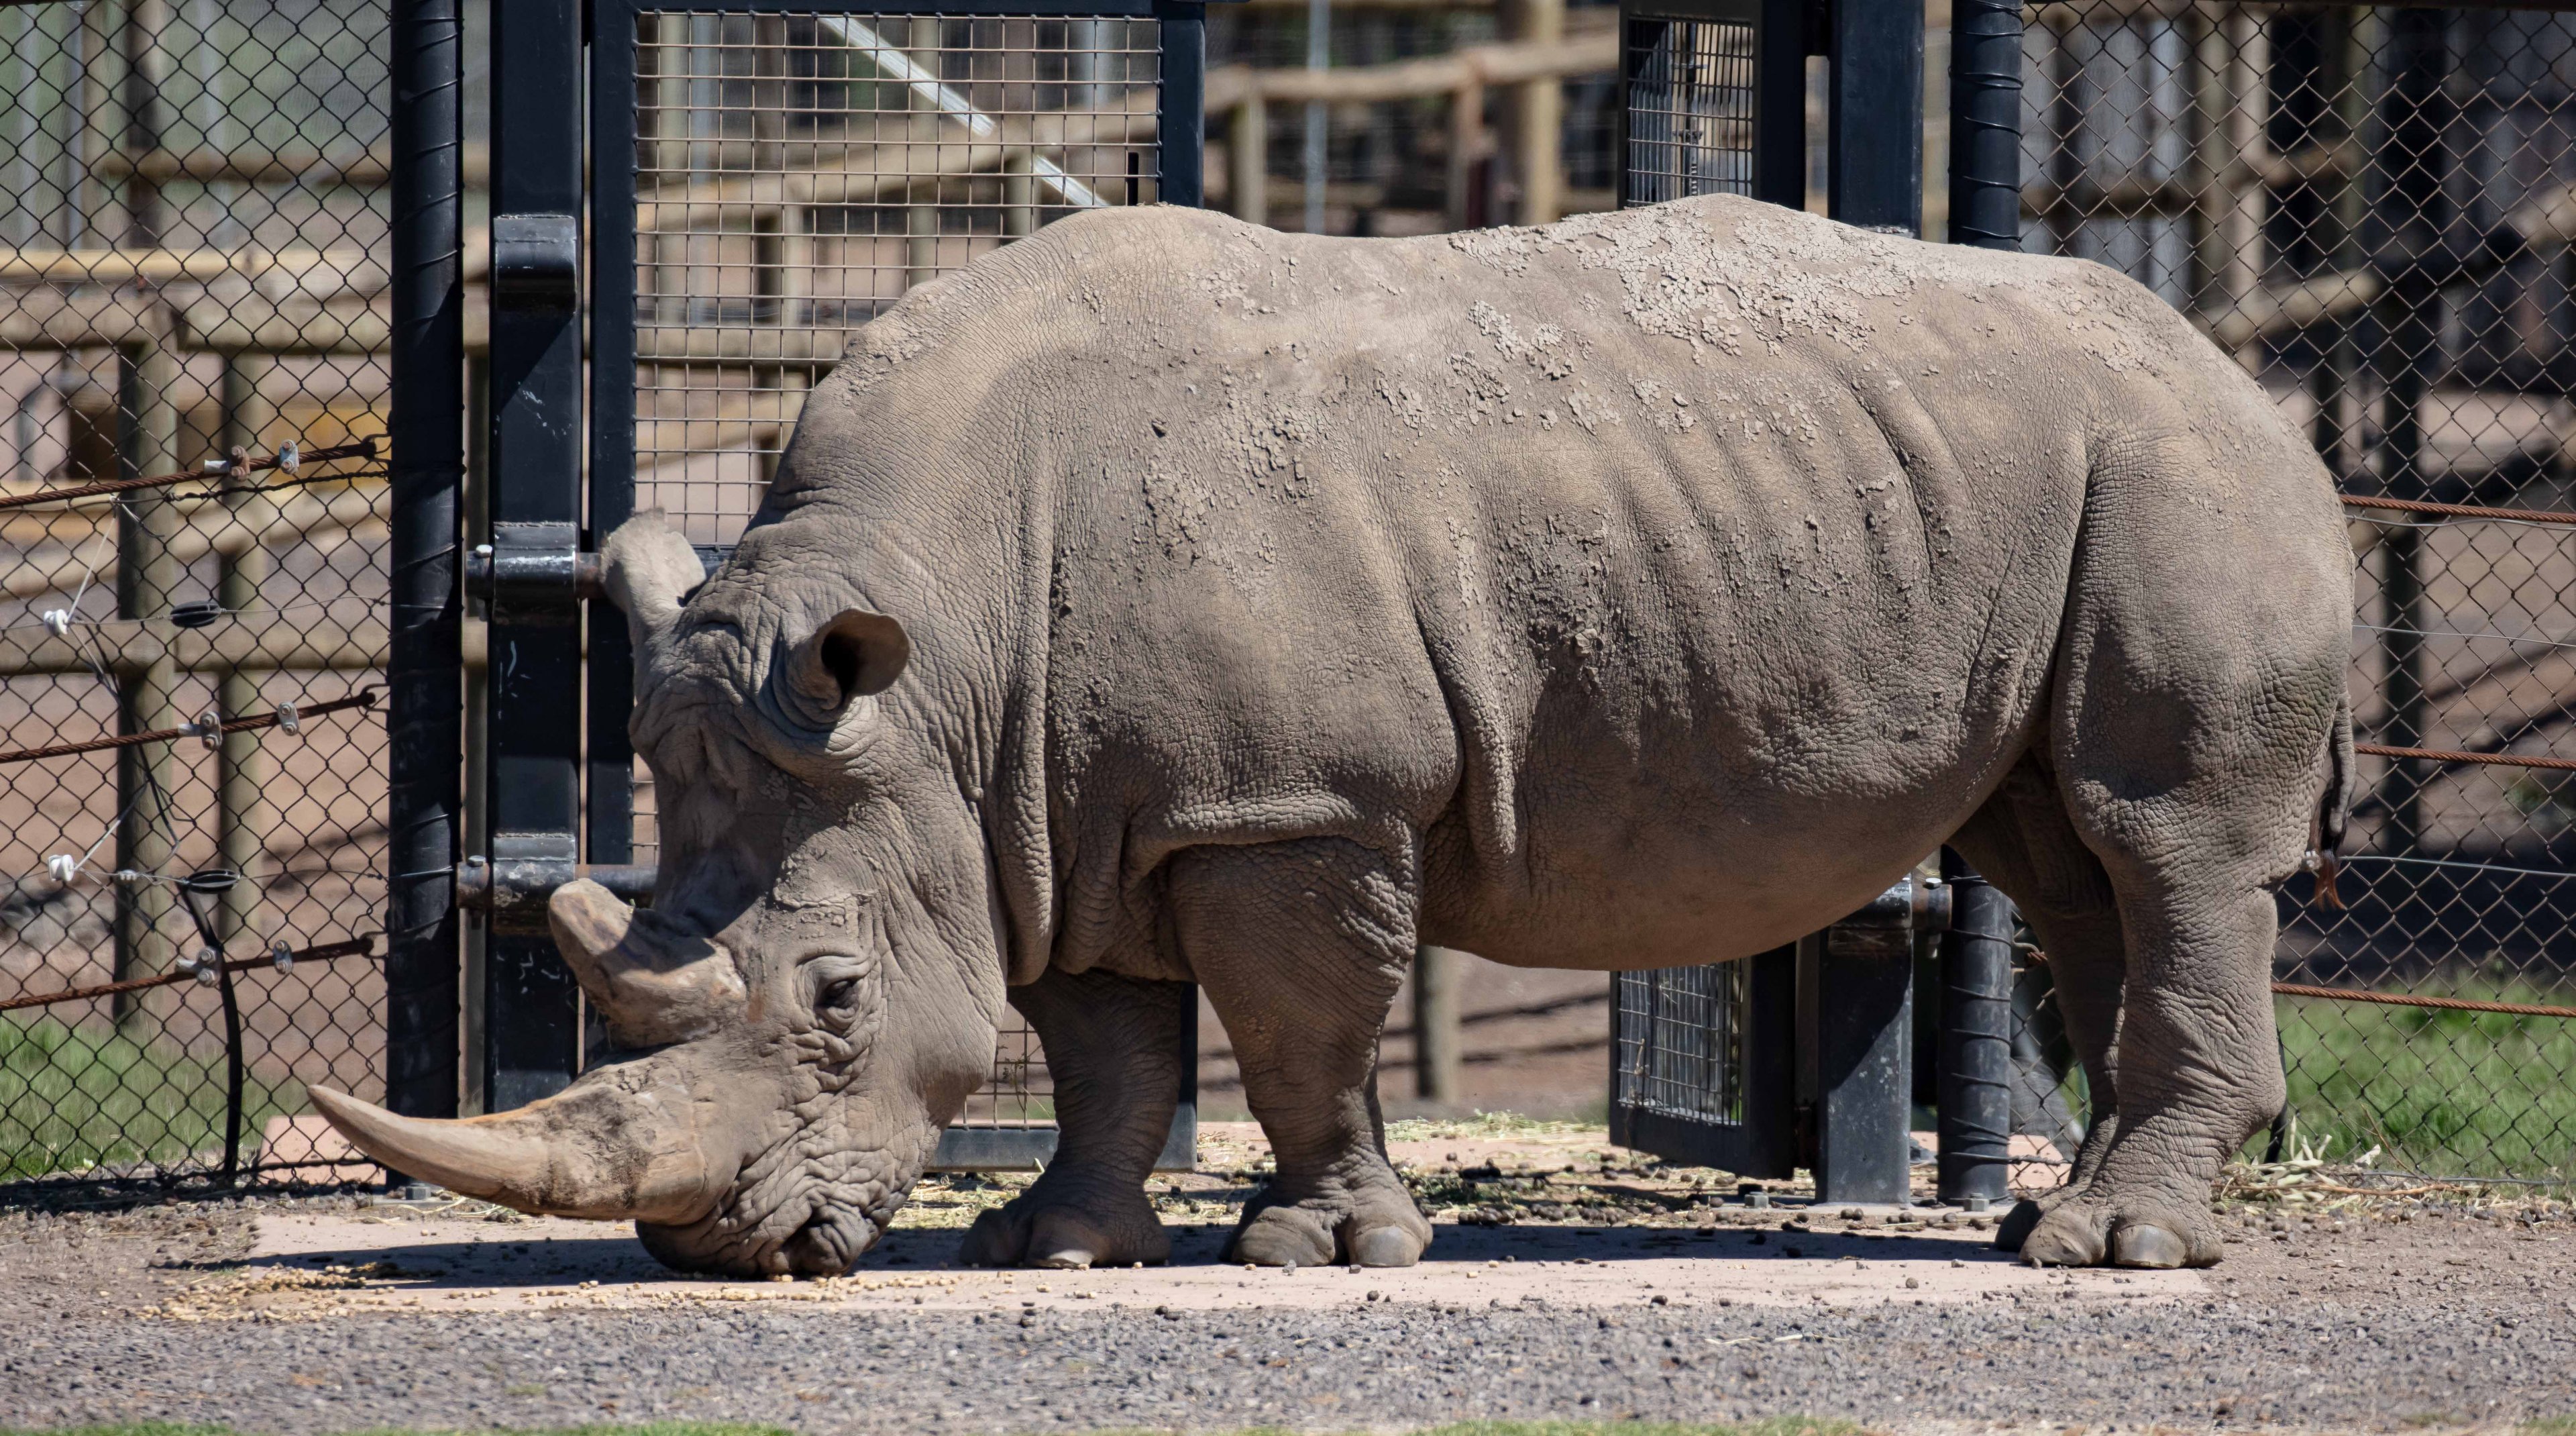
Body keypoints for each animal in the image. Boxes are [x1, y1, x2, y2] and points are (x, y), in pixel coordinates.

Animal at [314, 192, 2353, 1278]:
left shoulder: (1282, 801)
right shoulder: (1059, 801)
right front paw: (1051, 1246)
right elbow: (1105, 1038)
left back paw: (2111, 1255)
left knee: (2162, 839)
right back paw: (2074, 1234)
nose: (721, 1248)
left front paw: (1311, 1251)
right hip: (2039, 484)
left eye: (828, 995)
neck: (942, 646)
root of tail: (2245, 366)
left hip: (2173, 472)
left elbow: (1296, 1026)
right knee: (2062, 851)